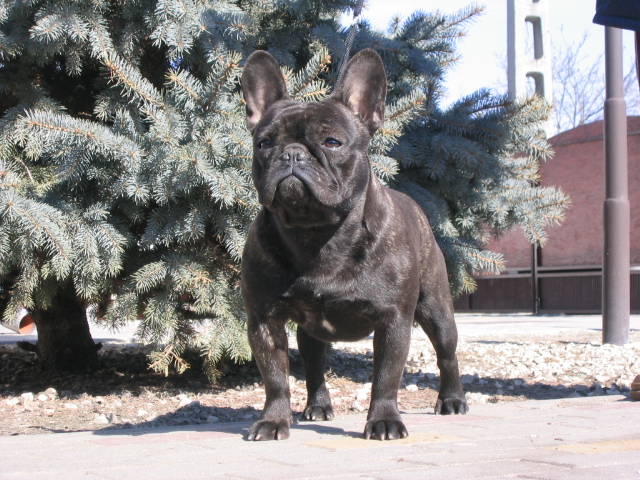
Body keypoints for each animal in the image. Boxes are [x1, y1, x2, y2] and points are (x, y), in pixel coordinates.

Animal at [241, 48, 468, 441]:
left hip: (436, 309)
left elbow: (386, 377)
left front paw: (384, 420)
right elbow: (275, 378)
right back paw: (317, 406)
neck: (317, 232)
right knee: (314, 363)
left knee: (446, 354)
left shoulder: (394, 320)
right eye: (264, 143)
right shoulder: (263, 320)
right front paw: (273, 420)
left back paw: (452, 400)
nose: (293, 154)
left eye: (332, 142)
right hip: (311, 332)